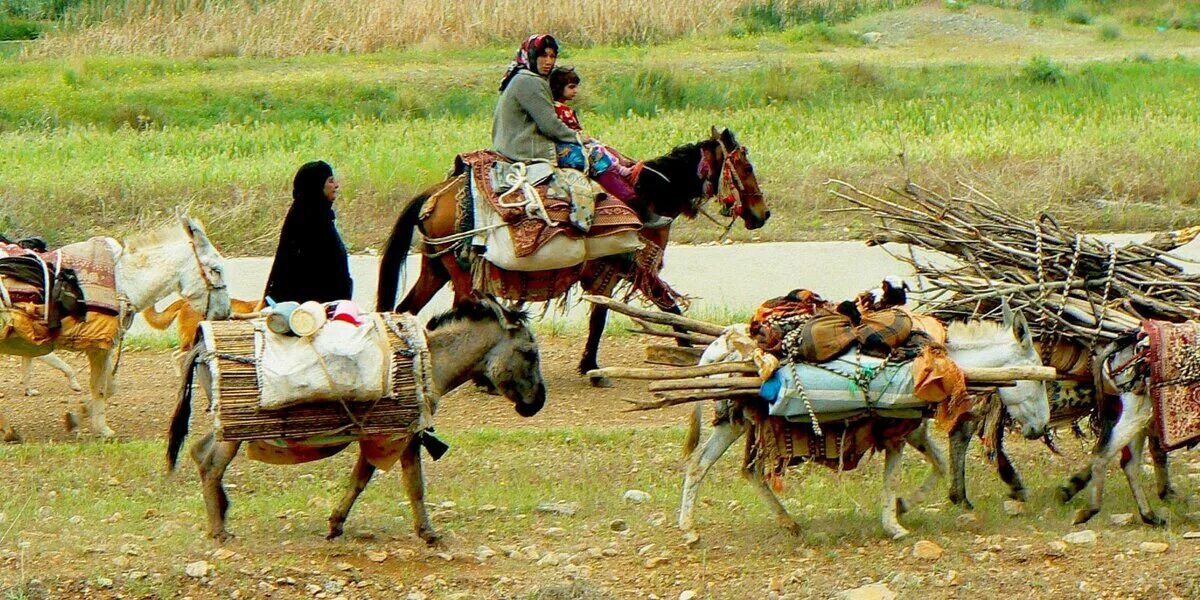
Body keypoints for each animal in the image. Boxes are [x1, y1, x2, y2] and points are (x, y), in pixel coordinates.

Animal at [165, 298, 549, 544]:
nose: (537, 403)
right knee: (210, 464)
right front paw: (429, 534)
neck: (429, 361)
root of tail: (201, 345)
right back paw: (219, 531)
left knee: (199, 452)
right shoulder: (402, 435)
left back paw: (221, 515)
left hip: (224, 428)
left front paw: (335, 525)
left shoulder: (380, 436)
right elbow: (413, 485)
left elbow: (360, 480)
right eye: (530, 353)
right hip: (233, 430)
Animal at [374, 129, 768, 386]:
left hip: (436, 268)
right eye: (746, 168)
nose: (762, 214)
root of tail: (436, 194)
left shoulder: (617, 271)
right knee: (461, 310)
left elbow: (629, 312)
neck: (648, 196)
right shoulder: (626, 268)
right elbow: (649, 311)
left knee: (406, 310)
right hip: (459, 272)